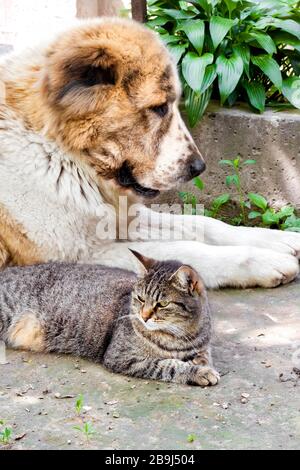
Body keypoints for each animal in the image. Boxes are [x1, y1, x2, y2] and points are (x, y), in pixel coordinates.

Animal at [0, 16, 300, 288]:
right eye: (159, 108)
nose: (199, 168)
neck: (66, 156)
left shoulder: (123, 216)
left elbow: (203, 223)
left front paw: (279, 239)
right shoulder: (80, 254)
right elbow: (187, 249)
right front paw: (264, 261)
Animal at [0, 252, 220, 388]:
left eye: (162, 304)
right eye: (141, 298)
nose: (144, 316)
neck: (180, 335)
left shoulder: (202, 346)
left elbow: (202, 355)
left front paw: (200, 363)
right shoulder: (122, 357)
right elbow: (168, 365)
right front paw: (199, 372)